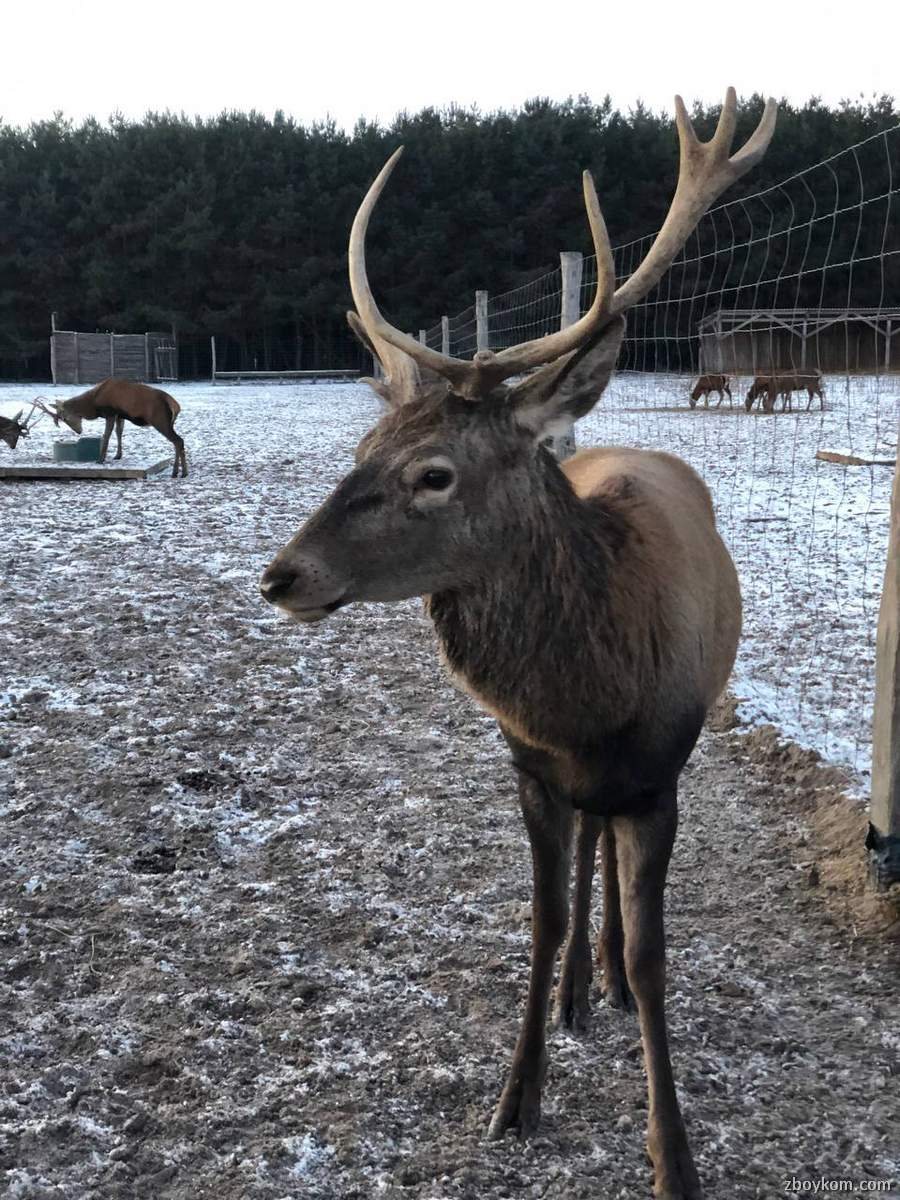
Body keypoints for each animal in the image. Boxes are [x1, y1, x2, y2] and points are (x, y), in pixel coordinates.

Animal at [32, 378, 187, 476]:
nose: (78, 431)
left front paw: (100, 459)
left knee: (178, 440)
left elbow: (106, 435)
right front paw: (118, 455)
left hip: (160, 420)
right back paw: (182, 472)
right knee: (179, 441)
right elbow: (119, 432)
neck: (93, 404)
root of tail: (176, 405)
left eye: (64, 418)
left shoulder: (110, 413)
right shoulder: (120, 416)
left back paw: (177, 473)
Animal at [260, 88, 776, 1200]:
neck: (592, 698)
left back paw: (606, 979)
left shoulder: (660, 773)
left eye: (435, 474)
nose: (281, 576)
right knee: (587, 855)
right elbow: (541, 921)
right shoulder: (529, 767)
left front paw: (673, 1153)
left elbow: (655, 959)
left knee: (611, 865)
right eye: (362, 448)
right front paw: (516, 1096)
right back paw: (583, 987)